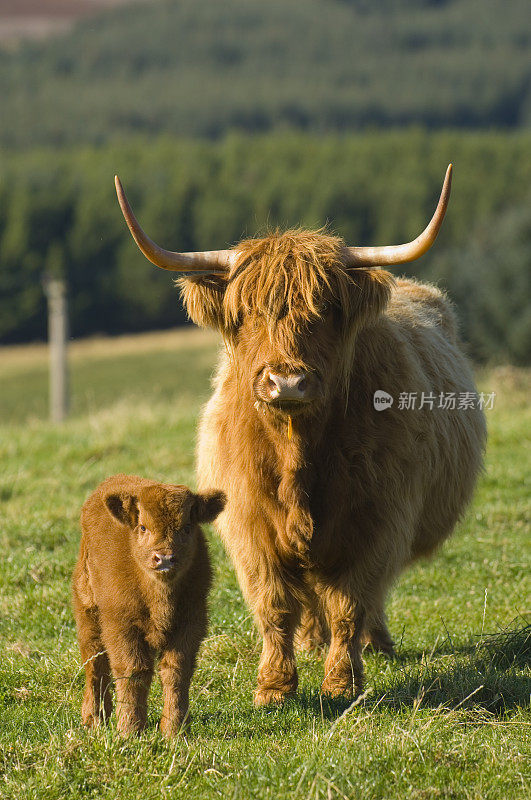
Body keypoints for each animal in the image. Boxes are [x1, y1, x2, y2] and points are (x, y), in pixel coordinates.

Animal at [72, 476, 224, 736]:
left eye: (187, 527)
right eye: (143, 527)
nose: (164, 558)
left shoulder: (191, 623)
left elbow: (176, 672)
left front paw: (174, 729)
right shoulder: (121, 626)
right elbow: (133, 672)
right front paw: (129, 730)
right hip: (88, 613)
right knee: (95, 663)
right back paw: (94, 717)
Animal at [115, 166, 486, 704]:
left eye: (326, 309)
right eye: (246, 313)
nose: (287, 381)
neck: (297, 454)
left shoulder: (376, 522)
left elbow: (351, 602)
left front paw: (341, 683)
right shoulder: (250, 526)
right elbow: (274, 605)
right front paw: (274, 687)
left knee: (364, 596)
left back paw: (374, 643)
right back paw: (312, 641)